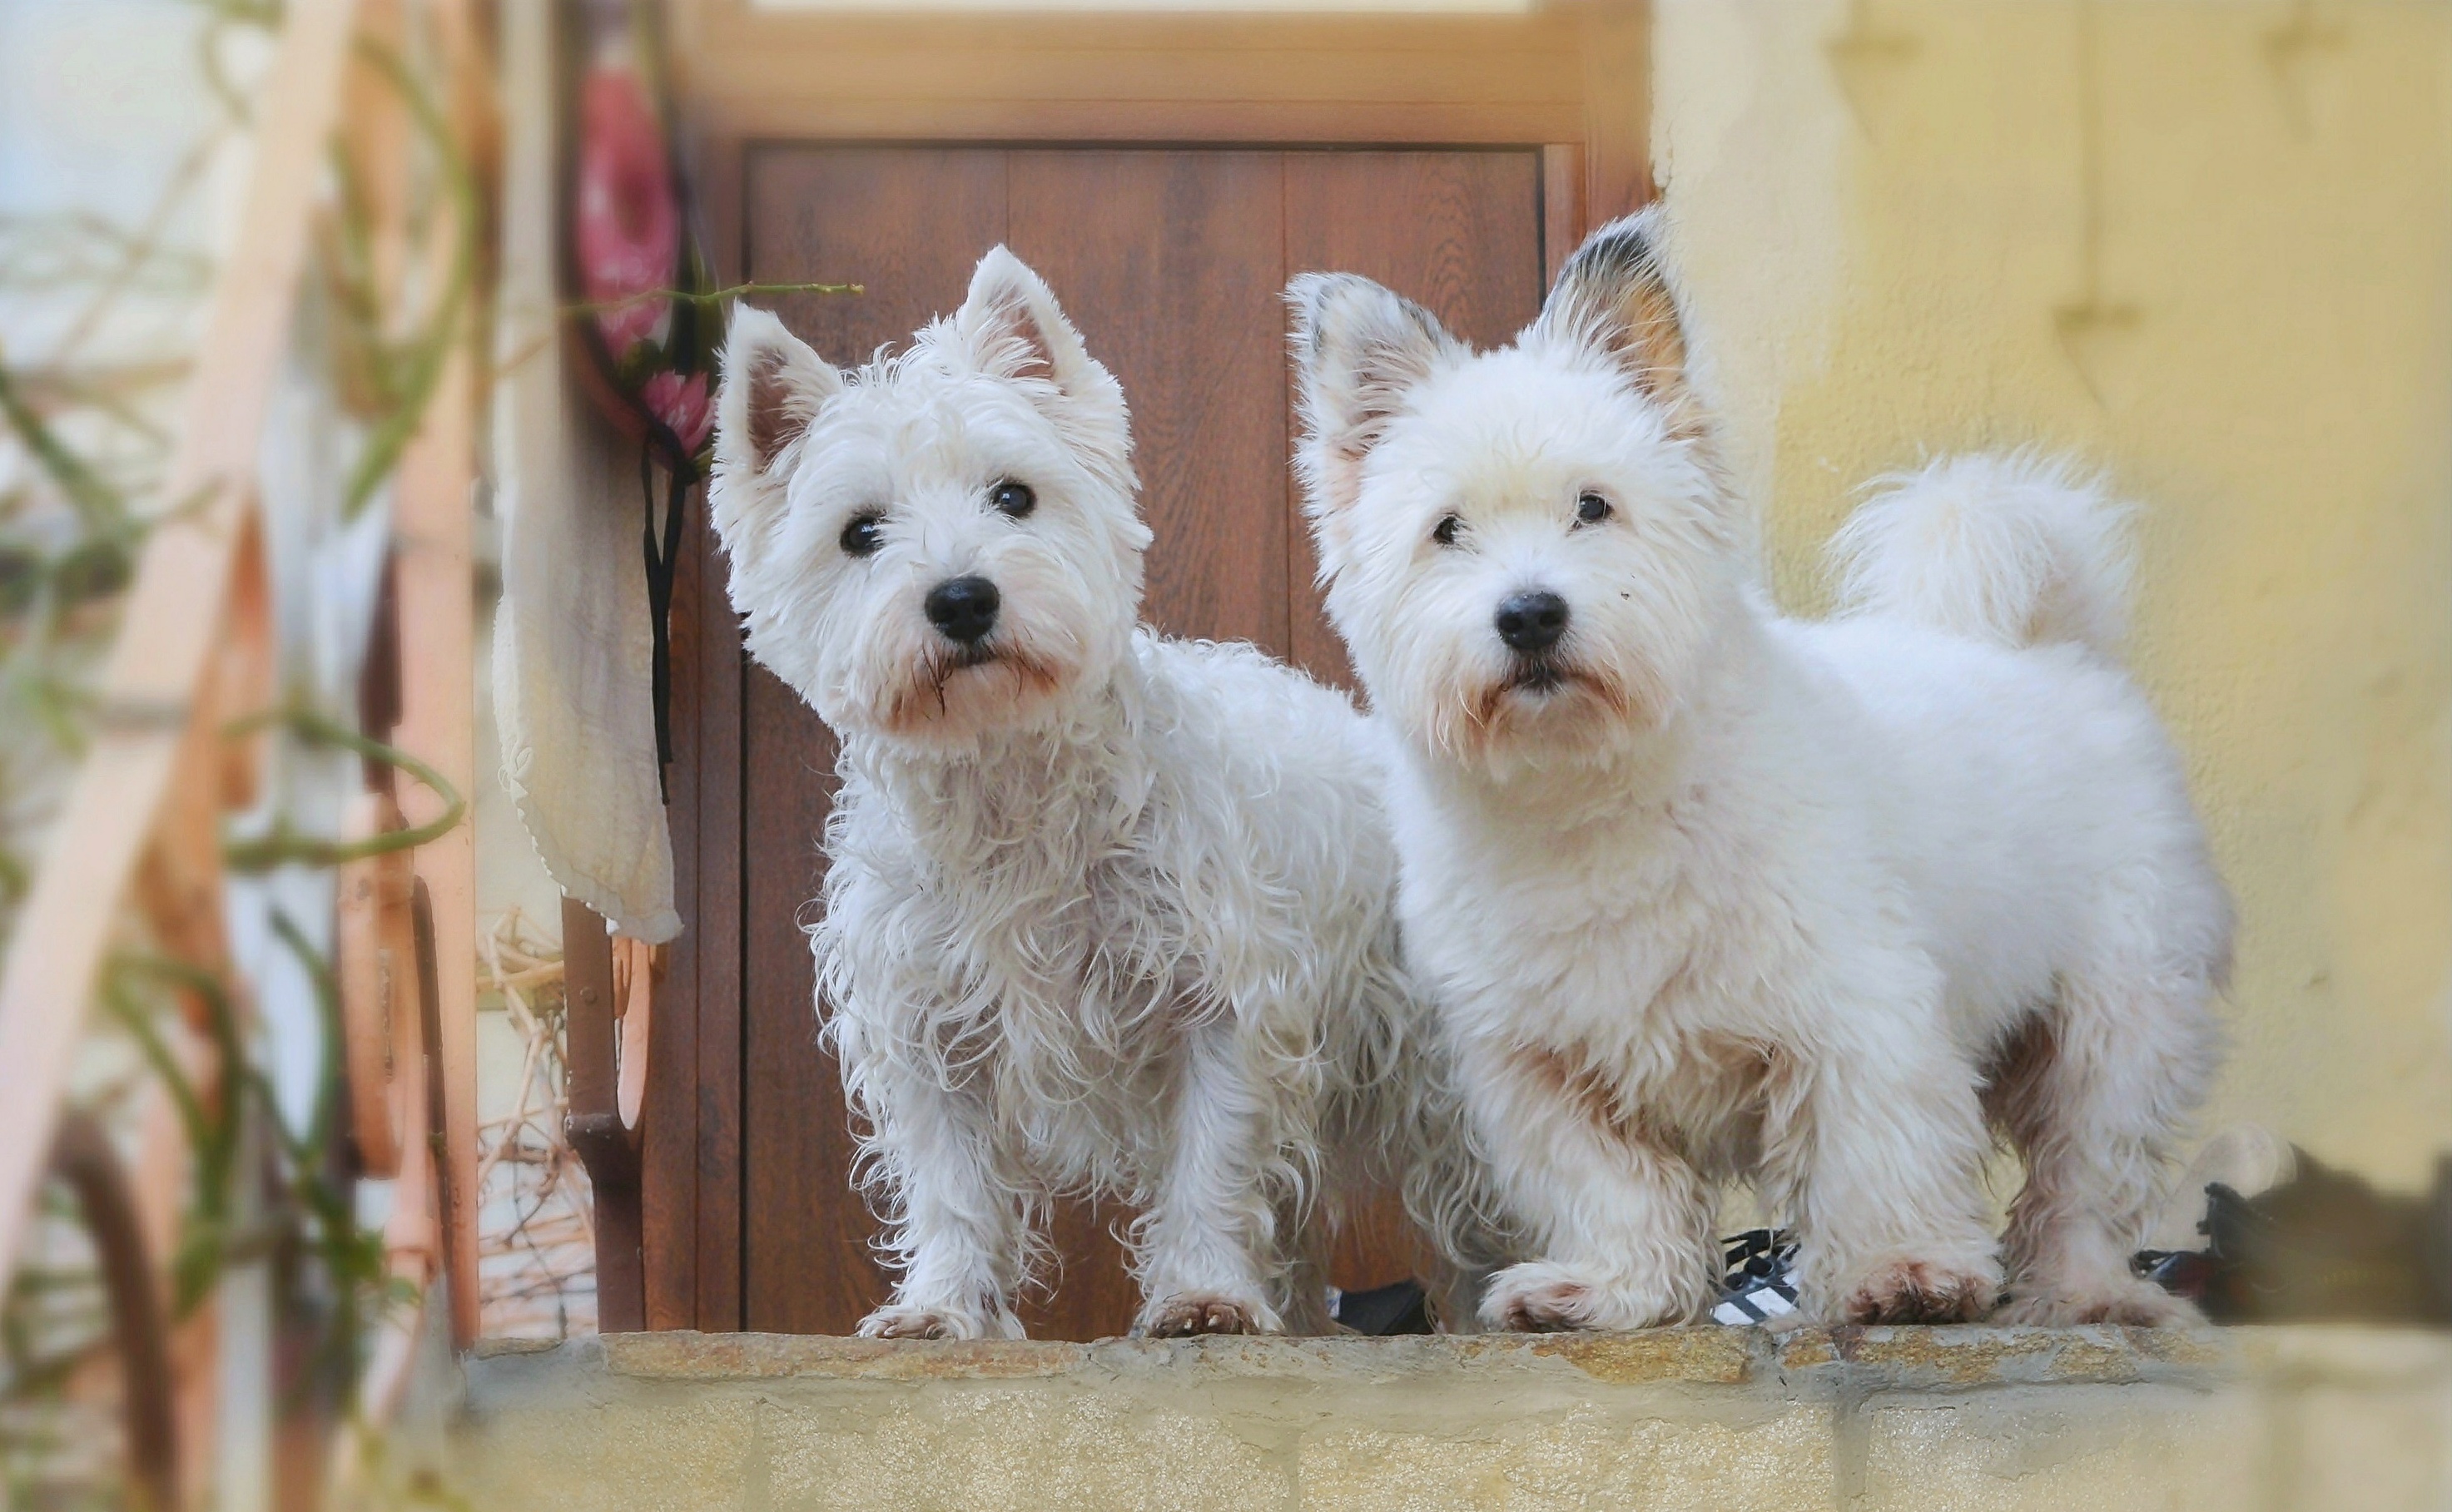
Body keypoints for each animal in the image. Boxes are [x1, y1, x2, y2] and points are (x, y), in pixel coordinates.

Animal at [711, 250, 1471, 1342]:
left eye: (1013, 494)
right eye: (860, 532)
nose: (962, 598)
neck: (1010, 789)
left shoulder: (1220, 1000)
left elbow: (1211, 1163)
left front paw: (1202, 1294)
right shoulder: (928, 1027)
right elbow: (950, 1182)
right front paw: (941, 1308)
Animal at [1294, 216, 2236, 1333]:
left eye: (1593, 507)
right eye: (1447, 529)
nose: (1529, 613)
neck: (1592, 792)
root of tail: (2052, 646)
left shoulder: (1857, 1007)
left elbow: (1873, 1153)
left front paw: (1900, 1270)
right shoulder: (1541, 1065)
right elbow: (1612, 1186)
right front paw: (1612, 1289)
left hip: (2116, 1015)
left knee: (2084, 1175)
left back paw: (2082, 1292)